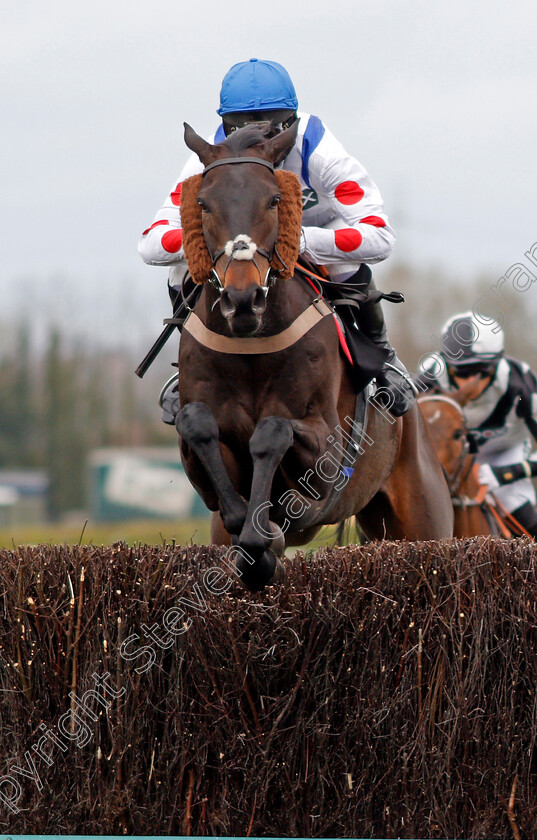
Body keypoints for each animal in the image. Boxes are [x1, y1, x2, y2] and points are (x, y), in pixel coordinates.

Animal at [175, 120, 452, 592]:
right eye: (202, 203)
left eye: (274, 199)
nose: (242, 300)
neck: (251, 345)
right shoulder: (201, 458)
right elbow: (197, 425)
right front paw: (252, 532)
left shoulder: (327, 449)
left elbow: (272, 431)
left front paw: (262, 538)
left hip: (423, 520)